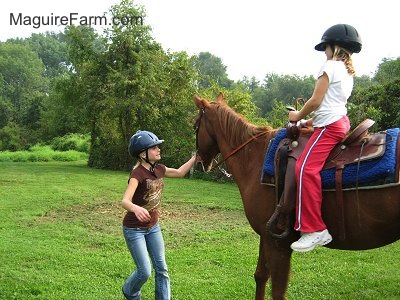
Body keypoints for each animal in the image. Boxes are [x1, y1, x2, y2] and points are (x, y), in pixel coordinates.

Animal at [192, 93, 398, 300]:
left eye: (195, 126)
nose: (199, 162)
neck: (254, 160)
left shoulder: (279, 244)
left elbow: (277, 292)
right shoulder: (266, 236)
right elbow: (260, 275)